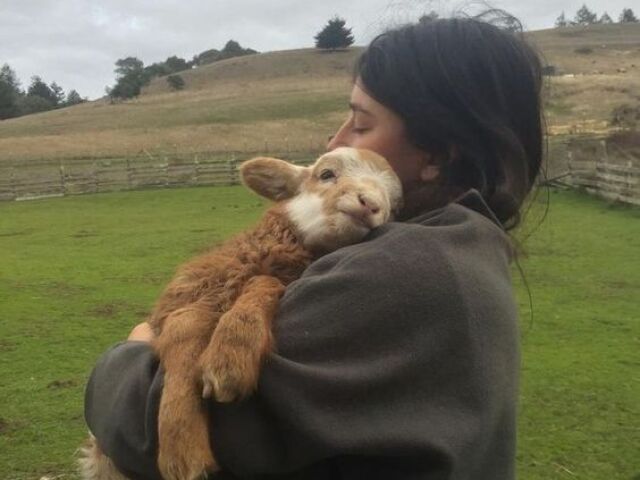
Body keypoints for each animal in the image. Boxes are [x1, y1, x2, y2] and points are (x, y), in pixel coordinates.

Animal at [79, 146, 400, 480]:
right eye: (326, 174)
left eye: (394, 206)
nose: (371, 204)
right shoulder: (185, 301)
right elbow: (186, 329)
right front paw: (183, 448)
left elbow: (265, 285)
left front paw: (230, 356)